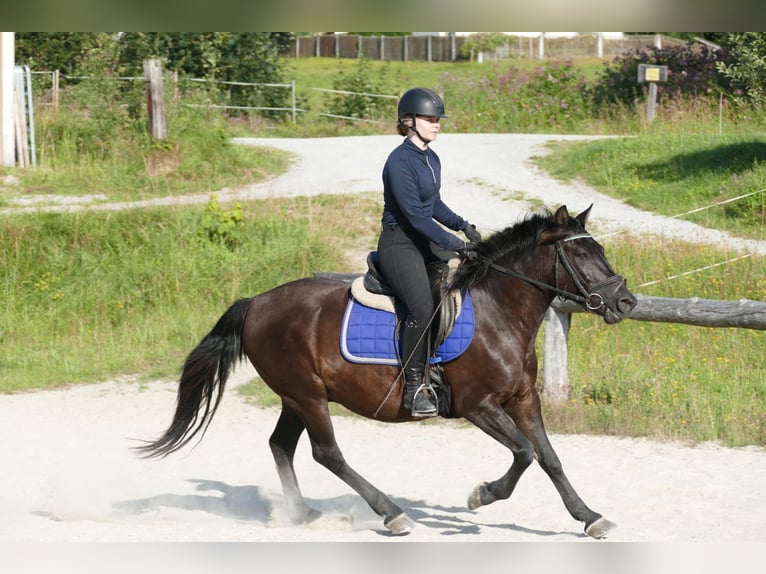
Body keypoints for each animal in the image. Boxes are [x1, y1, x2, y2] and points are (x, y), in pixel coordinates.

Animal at [136, 206, 636, 540]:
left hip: (295, 397)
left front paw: (590, 517)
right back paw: (390, 513)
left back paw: (304, 514)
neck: (499, 312)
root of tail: (256, 302)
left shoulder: (523, 399)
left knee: (282, 445)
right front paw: (481, 495)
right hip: (307, 395)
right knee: (327, 453)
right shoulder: (479, 405)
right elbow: (523, 454)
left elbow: (549, 457)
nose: (626, 302)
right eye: (582, 256)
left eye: (600, 250)